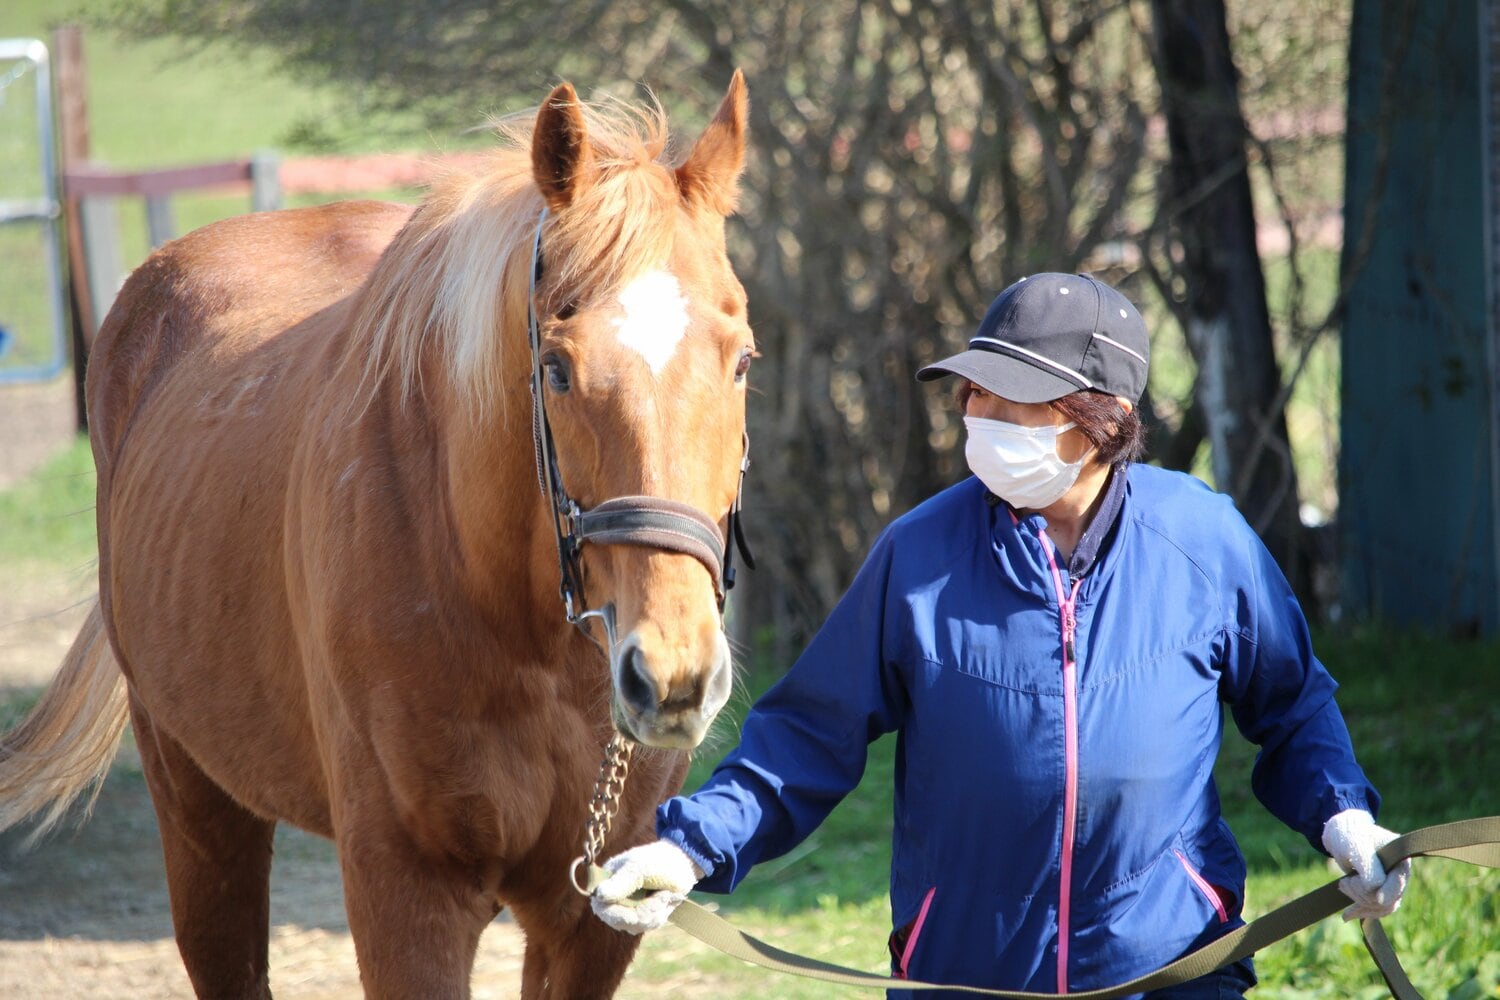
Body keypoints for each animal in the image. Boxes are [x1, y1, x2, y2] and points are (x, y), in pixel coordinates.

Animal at [0, 73, 753, 999]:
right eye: (557, 368)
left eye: (742, 361)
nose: (673, 675)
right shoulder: (407, 896)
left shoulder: (590, 921)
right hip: (195, 800)